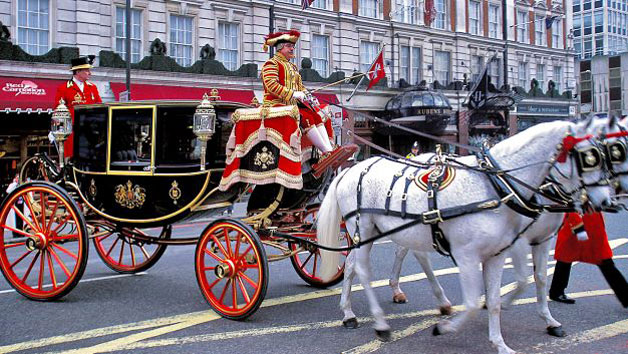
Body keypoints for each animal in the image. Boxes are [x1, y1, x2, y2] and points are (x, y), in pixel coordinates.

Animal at [316, 119, 612, 354]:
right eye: (589, 158)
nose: (606, 201)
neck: (498, 186)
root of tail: (352, 169)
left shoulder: (503, 252)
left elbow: (508, 292)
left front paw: (501, 341)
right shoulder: (471, 254)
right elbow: (474, 302)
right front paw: (445, 328)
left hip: (381, 230)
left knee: (357, 264)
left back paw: (352, 311)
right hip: (363, 227)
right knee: (363, 269)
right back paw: (378, 322)